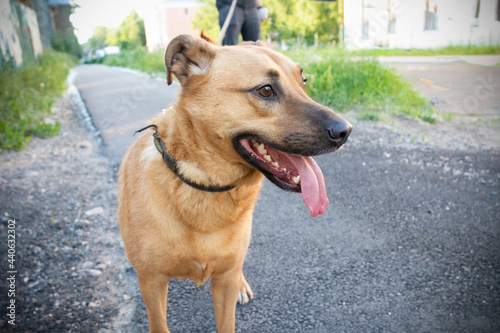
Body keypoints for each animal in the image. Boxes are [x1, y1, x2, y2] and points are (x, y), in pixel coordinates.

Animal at [117, 35, 352, 330]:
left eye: (304, 81)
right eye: (266, 90)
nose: (345, 131)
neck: (202, 184)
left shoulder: (225, 279)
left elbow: (227, 321)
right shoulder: (152, 283)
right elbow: (159, 324)